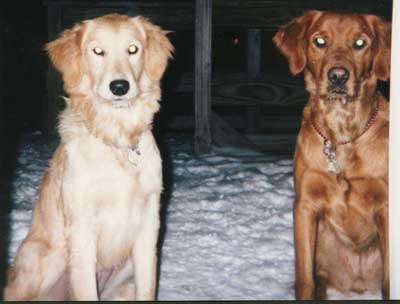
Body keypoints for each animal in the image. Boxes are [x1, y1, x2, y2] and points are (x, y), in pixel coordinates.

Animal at [3, 13, 173, 300]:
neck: (116, 140)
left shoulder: (148, 225)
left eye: (133, 49)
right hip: (53, 256)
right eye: (98, 51)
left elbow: (147, 286)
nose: (119, 87)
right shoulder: (81, 225)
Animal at [274, 10, 390, 300]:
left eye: (360, 43)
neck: (342, 137)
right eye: (320, 41)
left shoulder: (386, 206)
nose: (338, 76)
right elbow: (304, 280)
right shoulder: (304, 205)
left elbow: (389, 283)